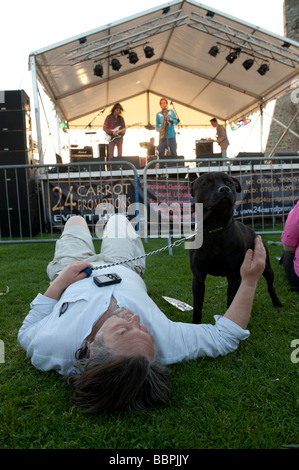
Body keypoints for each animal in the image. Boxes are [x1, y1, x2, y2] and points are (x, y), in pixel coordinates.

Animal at [191, 172, 282, 324]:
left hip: (266, 267)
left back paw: (277, 303)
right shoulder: (198, 278)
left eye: (229, 182)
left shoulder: (234, 277)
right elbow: (197, 308)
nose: (224, 189)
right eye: (206, 183)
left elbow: (231, 302)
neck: (215, 230)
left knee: (271, 286)